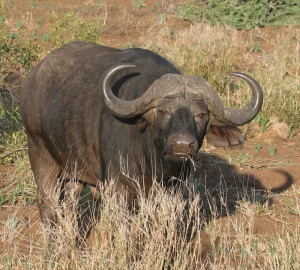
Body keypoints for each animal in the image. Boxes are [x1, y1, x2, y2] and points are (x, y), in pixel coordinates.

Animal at [19, 41, 262, 231]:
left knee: (70, 204)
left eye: (202, 114)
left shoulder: (171, 191)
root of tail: (33, 77)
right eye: (162, 111)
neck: (152, 162)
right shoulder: (117, 189)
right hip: (40, 153)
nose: (182, 144)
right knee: (47, 202)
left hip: (75, 170)